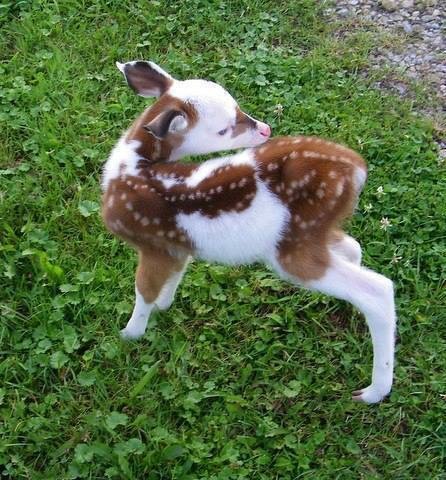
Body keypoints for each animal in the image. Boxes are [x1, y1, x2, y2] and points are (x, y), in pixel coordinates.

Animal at [103, 62, 396, 404]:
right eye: (223, 128)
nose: (265, 129)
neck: (131, 169)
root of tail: (356, 169)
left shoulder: (151, 243)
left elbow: (143, 291)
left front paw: (128, 334)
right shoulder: (176, 247)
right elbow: (172, 279)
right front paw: (163, 307)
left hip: (291, 250)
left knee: (378, 289)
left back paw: (372, 392)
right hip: (311, 230)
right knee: (353, 247)